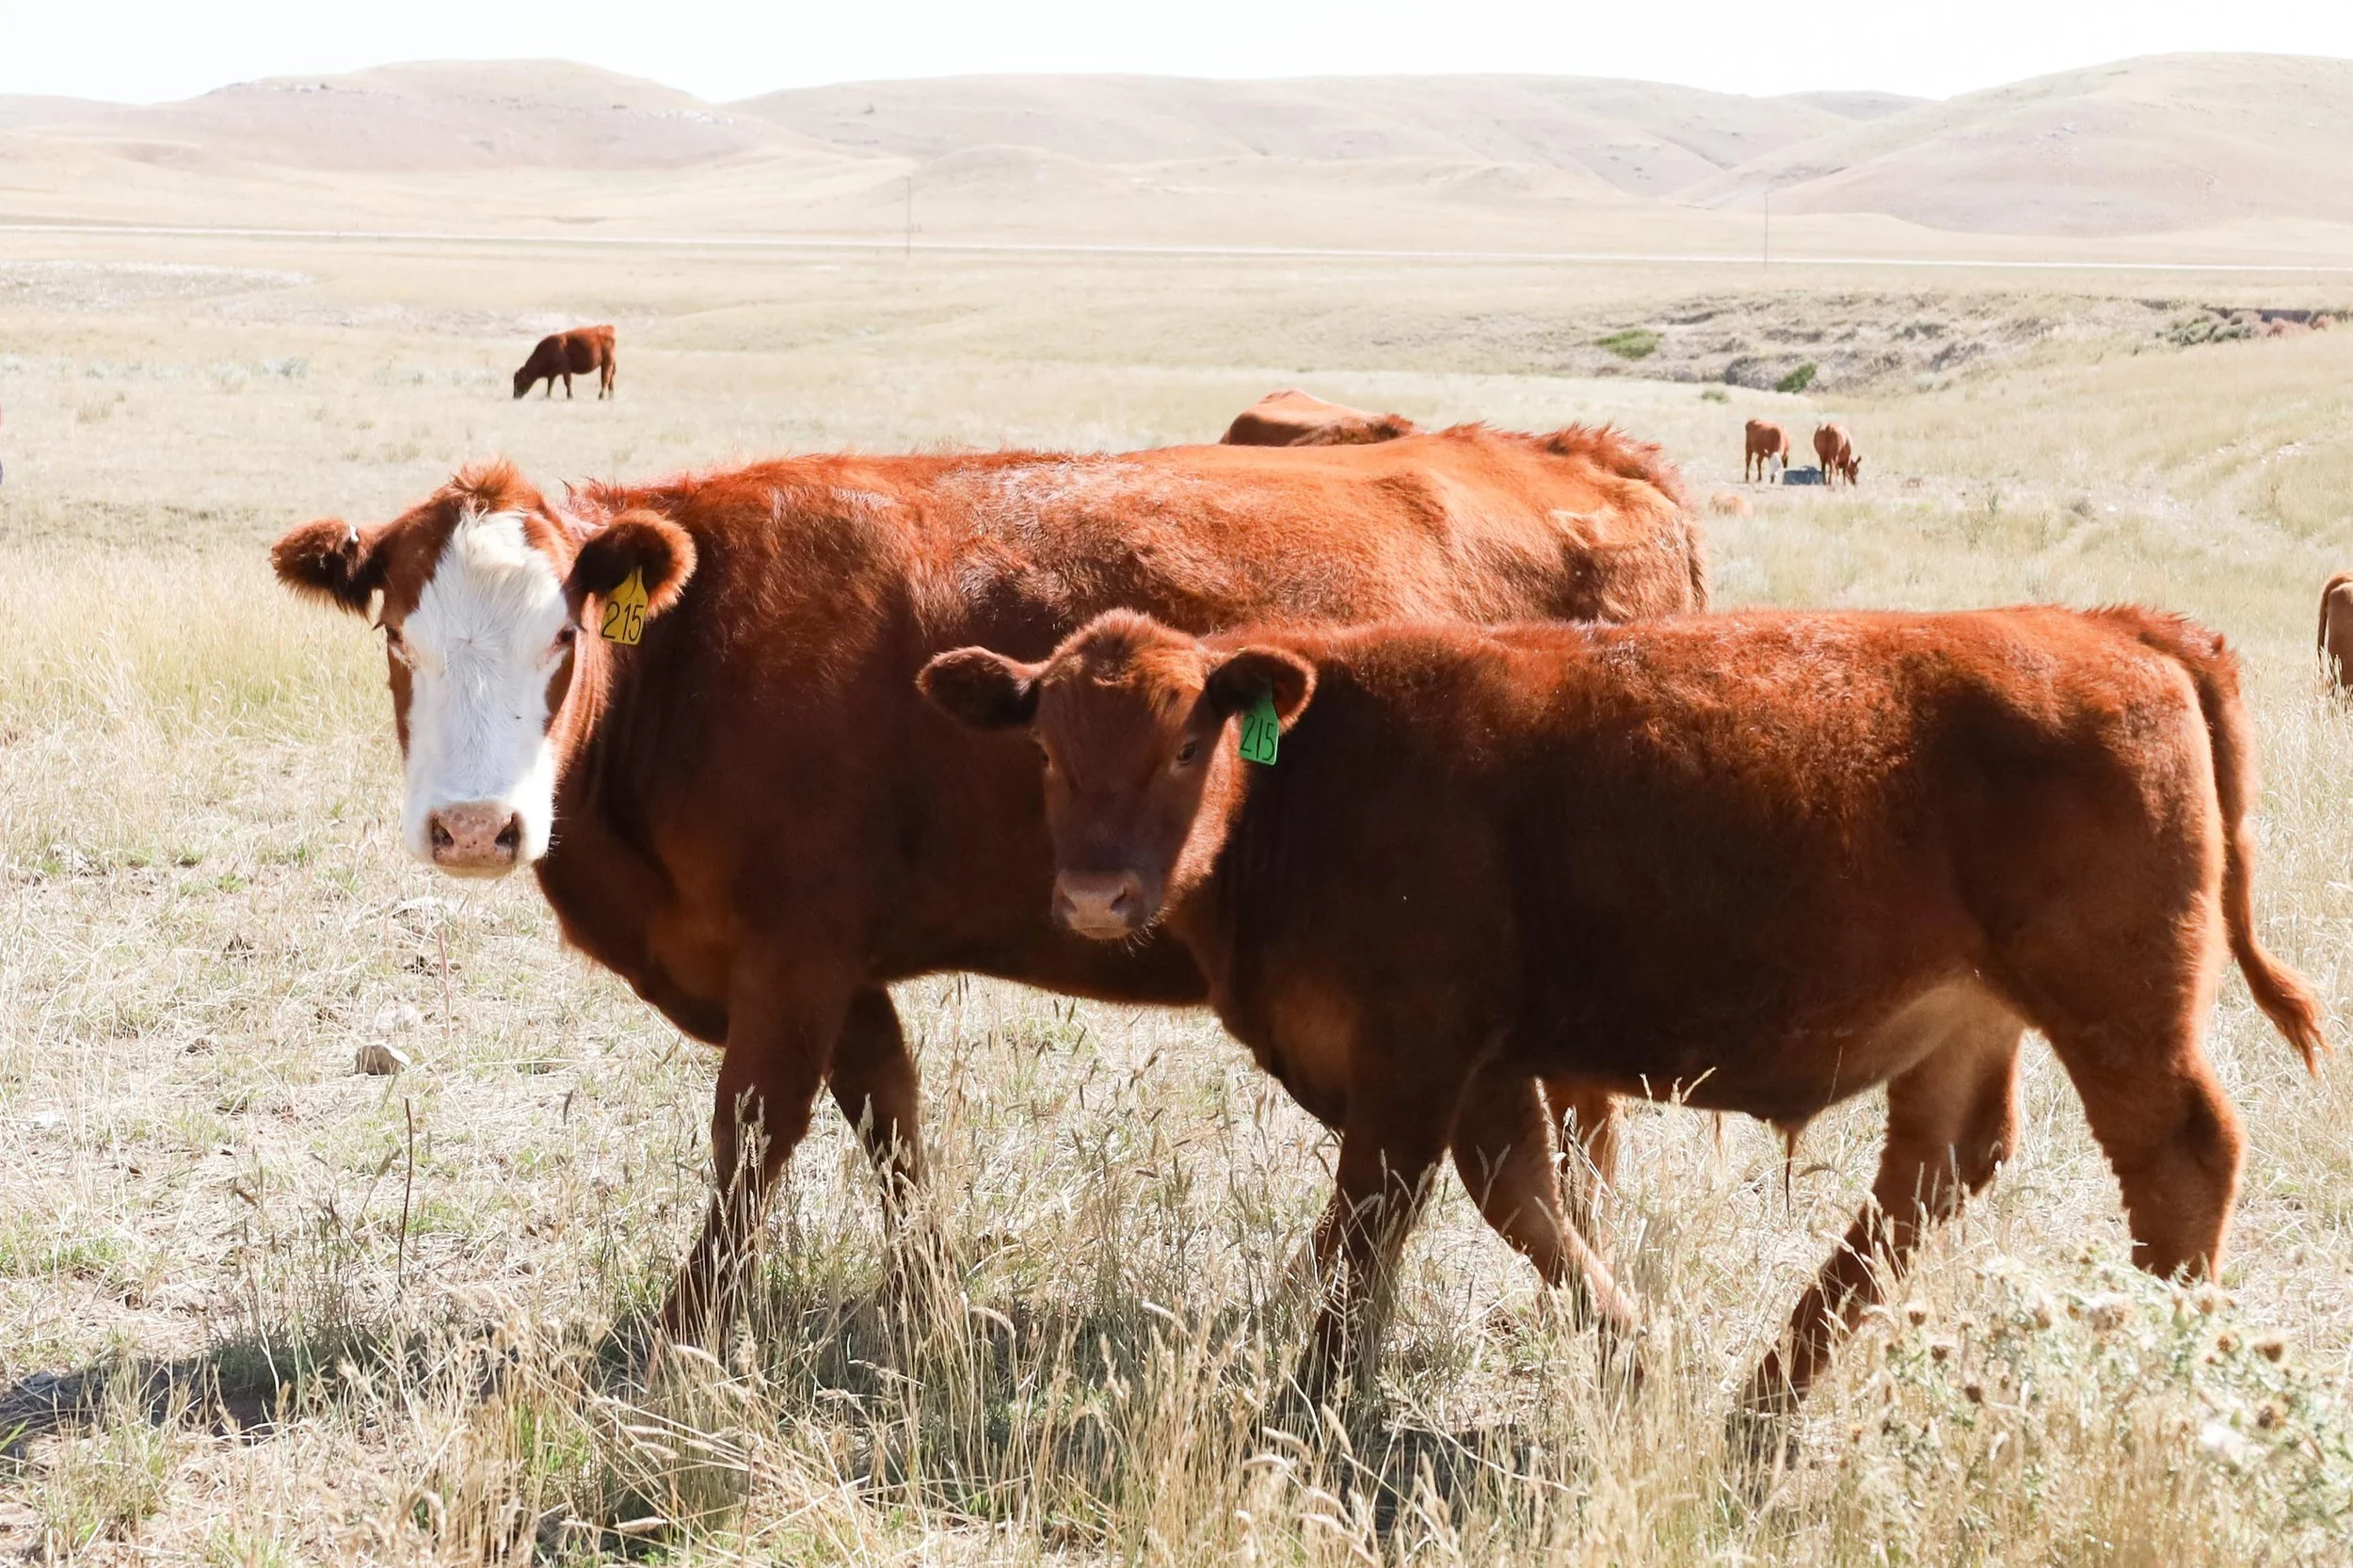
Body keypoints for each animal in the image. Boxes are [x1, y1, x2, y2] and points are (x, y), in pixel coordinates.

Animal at [269, 424, 1709, 1339]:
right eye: (399, 639)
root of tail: (1589, 458)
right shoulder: (840, 966)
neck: (697, 658)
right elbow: (890, 1122)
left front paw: (674, 1334)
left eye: (564, 636)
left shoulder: (789, 956)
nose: (473, 825)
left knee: (1578, 1130)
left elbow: (752, 1139)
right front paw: (929, 1306)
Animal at [918, 604, 2325, 1424]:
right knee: (1934, 1170)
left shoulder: (1413, 1048)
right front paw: (1641, 1360)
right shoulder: (1481, 1064)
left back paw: (2156, 1388)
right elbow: (1522, 1204)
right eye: (1047, 746)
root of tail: (2109, 626)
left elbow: (1368, 1227)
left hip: (2119, 997)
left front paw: (1300, 1407)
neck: (1316, 772)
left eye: (1184, 742)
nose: (1095, 895)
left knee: (2178, 1157)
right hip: (1970, 1012)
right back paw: (1758, 1412)